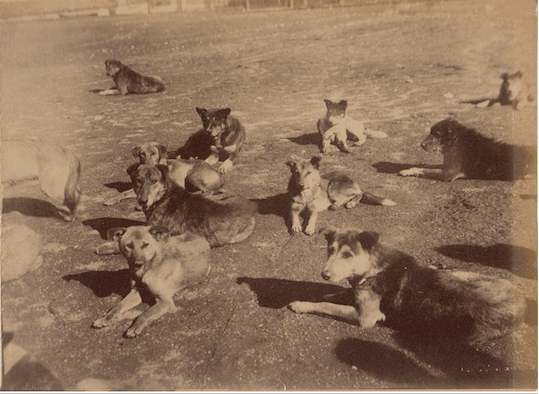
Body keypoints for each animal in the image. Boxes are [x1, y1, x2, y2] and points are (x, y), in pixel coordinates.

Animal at [292, 228, 528, 344]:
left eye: (348, 255)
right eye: (329, 250)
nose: (324, 274)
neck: (372, 266)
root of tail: (523, 305)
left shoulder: (365, 318)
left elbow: (328, 306)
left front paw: (301, 304)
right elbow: (338, 294)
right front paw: (328, 294)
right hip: (464, 273)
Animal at [398, 118, 536, 182]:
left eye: (437, 134)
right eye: (430, 132)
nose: (421, 144)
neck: (456, 142)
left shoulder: (449, 173)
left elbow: (425, 170)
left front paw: (407, 171)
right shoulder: (447, 165)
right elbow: (427, 167)